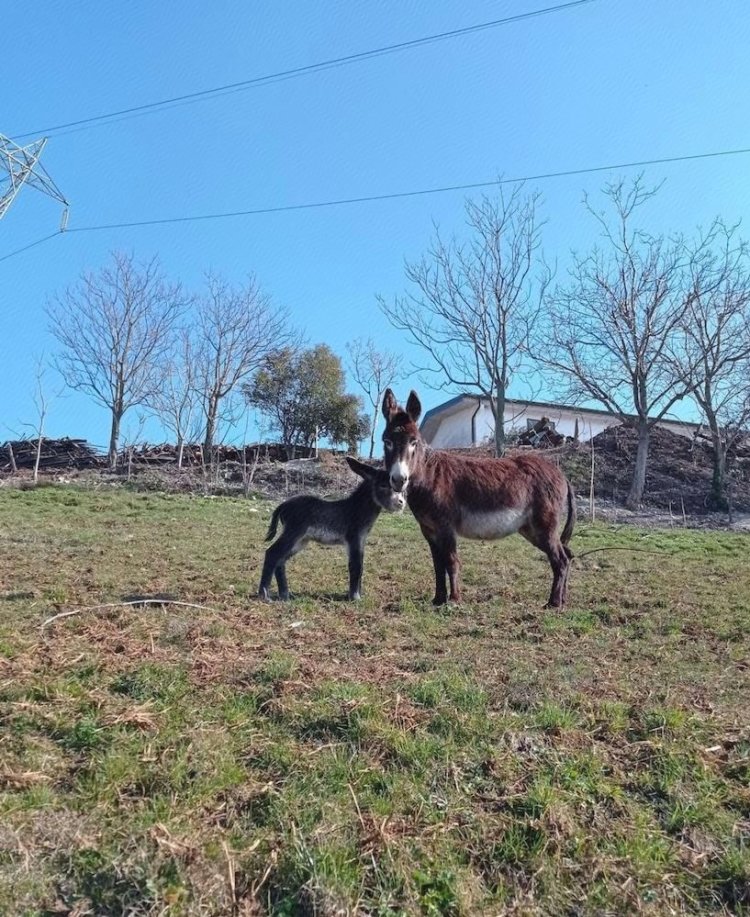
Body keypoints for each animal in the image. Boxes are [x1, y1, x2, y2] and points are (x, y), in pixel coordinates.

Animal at [381, 389, 575, 607]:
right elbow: (438, 566)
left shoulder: (446, 528)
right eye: (387, 441)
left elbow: (452, 562)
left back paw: (553, 604)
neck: (429, 476)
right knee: (567, 555)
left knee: (560, 559)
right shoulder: (429, 530)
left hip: (544, 525)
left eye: (414, 442)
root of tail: (561, 475)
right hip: (530, 529)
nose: (398, 480)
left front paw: (454, 600)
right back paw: (563, 600)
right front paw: (438, 600)